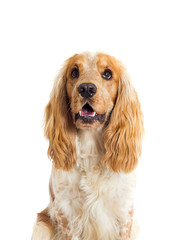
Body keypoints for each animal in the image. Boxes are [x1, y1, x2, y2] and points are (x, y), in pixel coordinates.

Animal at [31, 52, 144, 240]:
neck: (92, 147)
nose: (86, 89)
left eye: (107, 74)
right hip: (42, 226)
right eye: (74, 73)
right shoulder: (66, 213)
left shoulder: (124, 212)